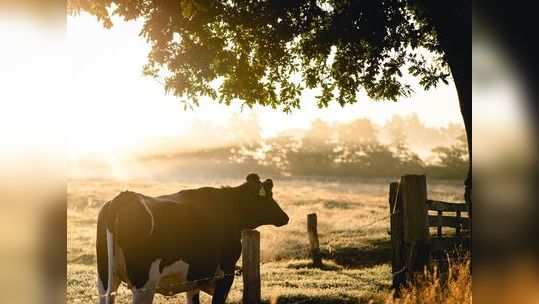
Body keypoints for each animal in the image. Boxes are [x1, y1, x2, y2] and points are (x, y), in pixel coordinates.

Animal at [97, 173, 292, 304]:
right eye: (269, 197)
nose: (285, 217)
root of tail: (124, 196)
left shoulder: (194, 278)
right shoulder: (225, 272)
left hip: (105, 279)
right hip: (144, 284)